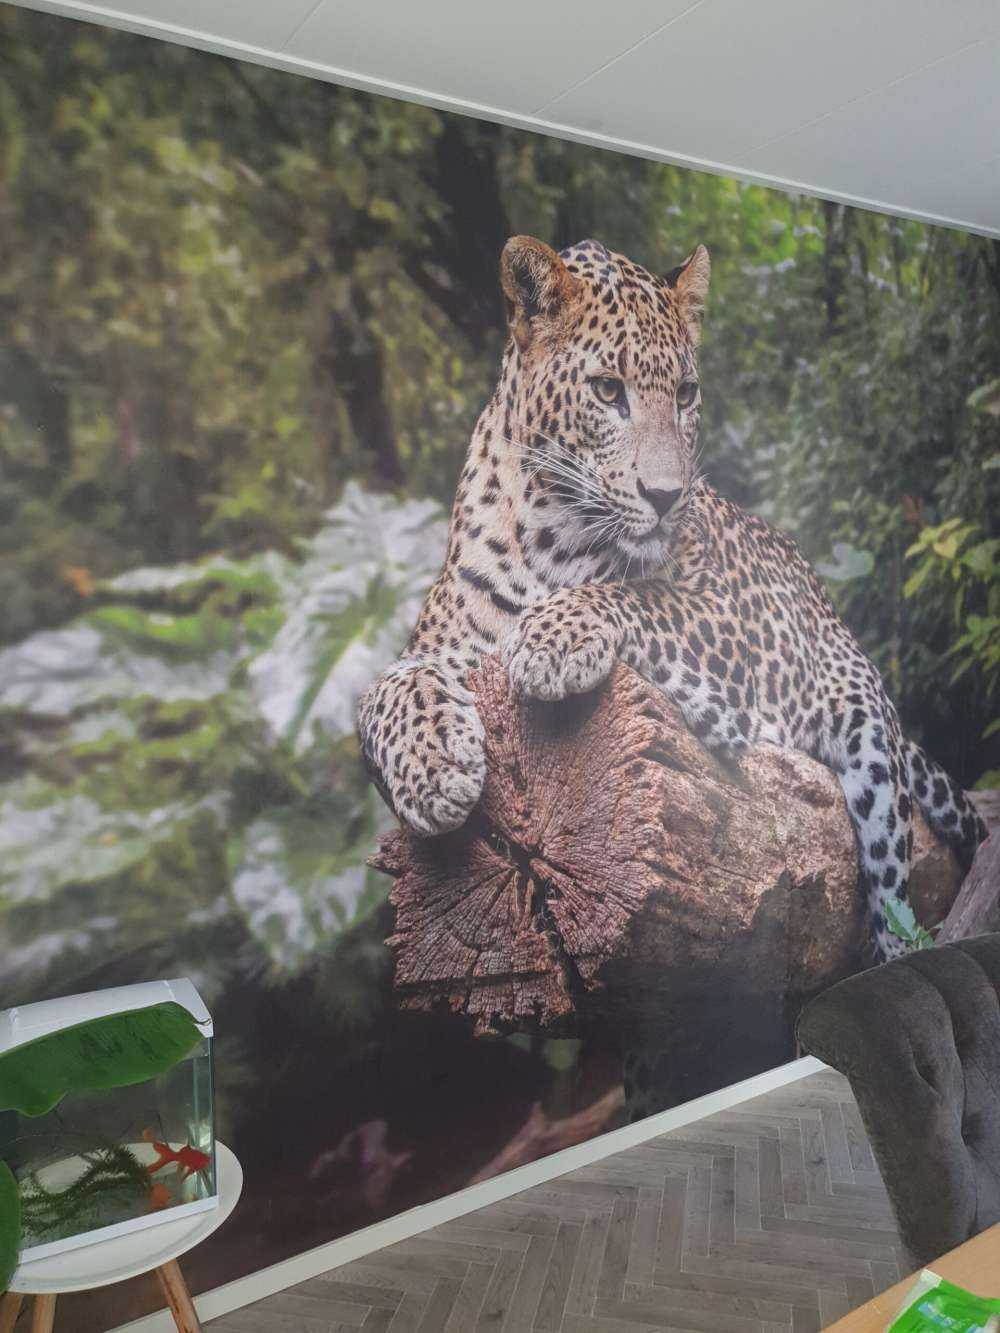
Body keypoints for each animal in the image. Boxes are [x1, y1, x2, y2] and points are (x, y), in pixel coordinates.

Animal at [357, 233, 986, 1113]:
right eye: (608, 390)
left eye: (685, 393)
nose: (666, 494)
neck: (551, 532)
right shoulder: (439, 647)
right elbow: (387, 687)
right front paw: (434, 769)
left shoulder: (728, 621)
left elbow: (636, 596)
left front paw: (550, 638)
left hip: (862, 727)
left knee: (896, 908)